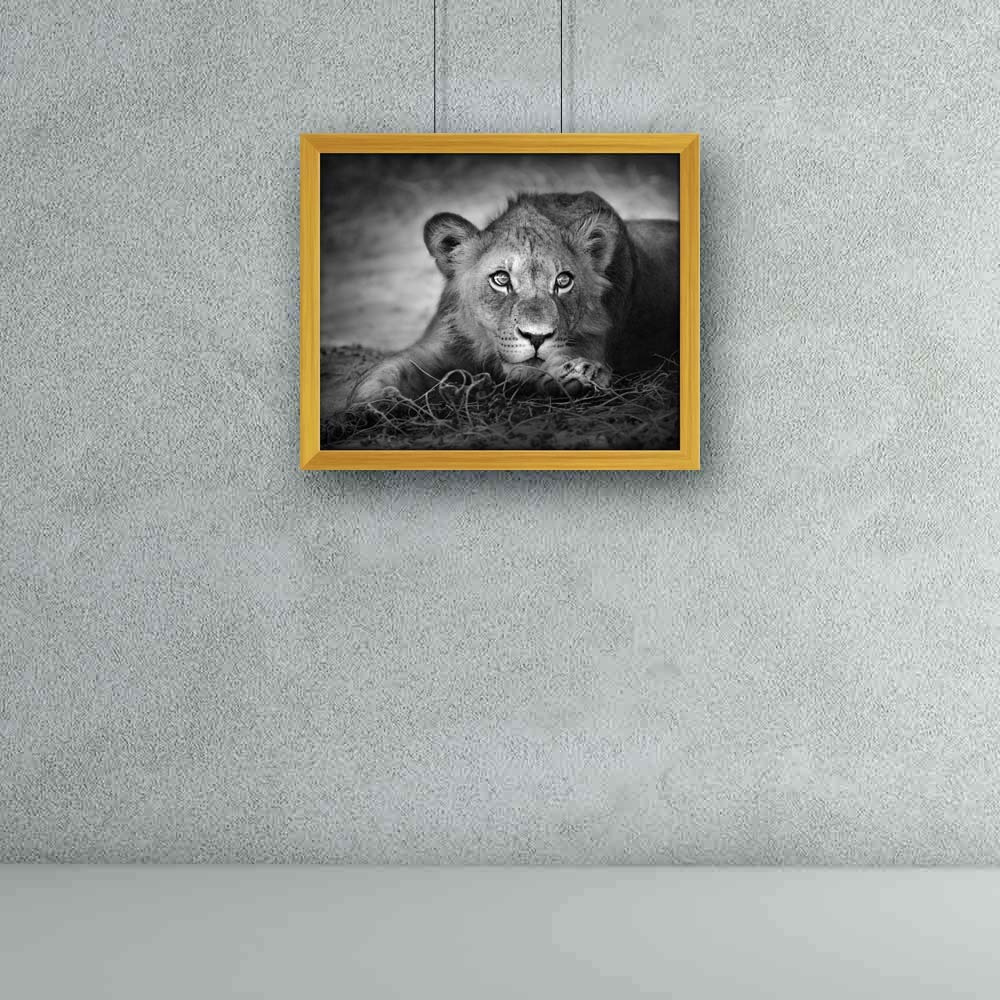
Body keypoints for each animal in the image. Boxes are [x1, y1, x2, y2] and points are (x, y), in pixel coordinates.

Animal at [348, 191, 678, 404]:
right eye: (501, 279)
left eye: (563, 281)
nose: (537, 337)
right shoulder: (439, 344)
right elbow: (386, 369)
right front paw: (374, 403)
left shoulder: (592, 339)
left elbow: (568, 356)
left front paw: (581, 374)